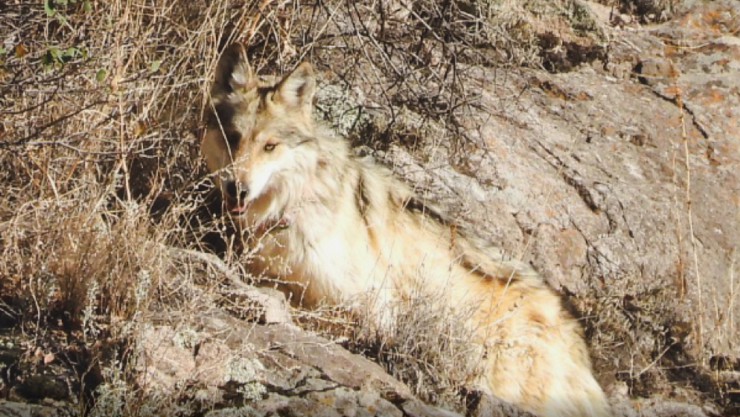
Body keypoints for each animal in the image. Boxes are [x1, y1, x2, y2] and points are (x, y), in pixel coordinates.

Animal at [201, 43, 611, 417]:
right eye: (232, 137)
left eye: (270, 146)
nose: (236, 189)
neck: (291, 206)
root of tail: (578, 339)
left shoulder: (371, 311)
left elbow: (308, 310)